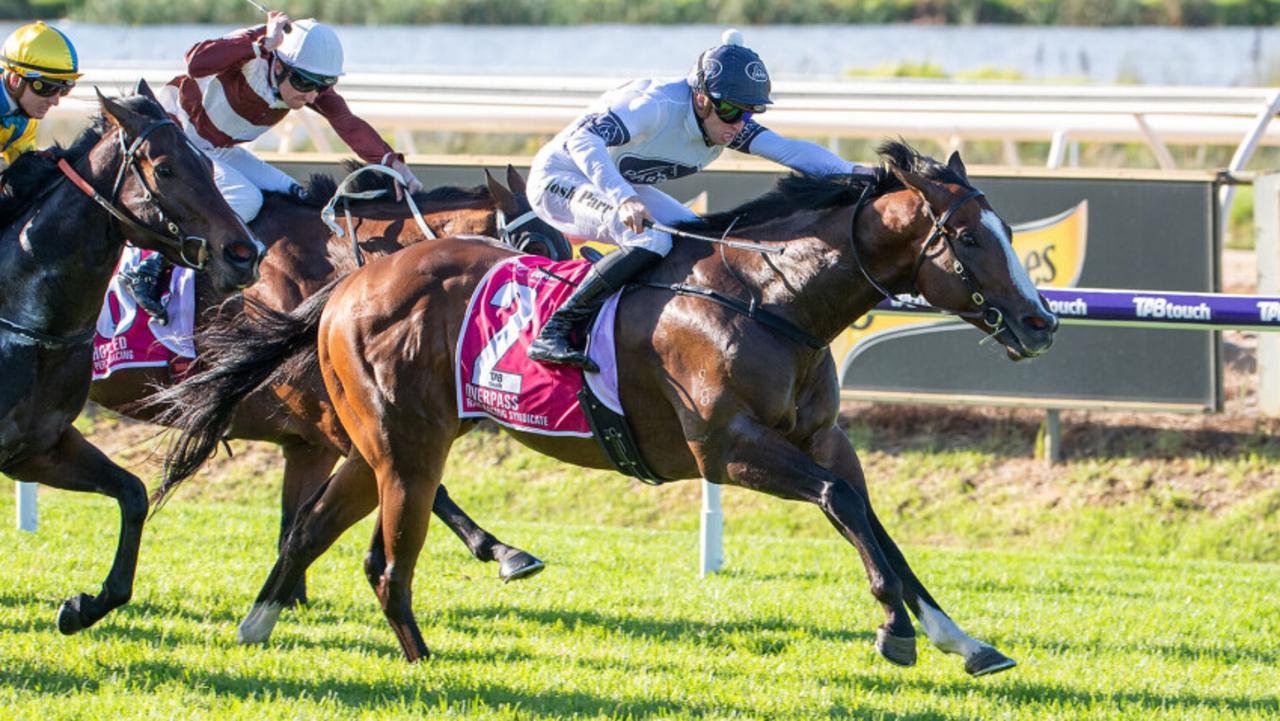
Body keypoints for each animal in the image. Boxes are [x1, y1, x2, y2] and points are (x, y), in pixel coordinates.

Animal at [0, 84, 262, 635]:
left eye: (207, 163)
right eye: (164, 168)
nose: (244, 254)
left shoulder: (38, 448)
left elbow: (135, 494)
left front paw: (84, 605)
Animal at [90, 163, 565, 599]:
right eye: (535, 246)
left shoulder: (309, 444)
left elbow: (295, 523)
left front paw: (288, 600)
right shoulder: (342, 425)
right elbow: (431, 488)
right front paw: (505, 552)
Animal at [157, 142, 1059, 676]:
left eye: (1008, 232)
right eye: (969, 238)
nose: (1041, 322)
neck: (770, 299)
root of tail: (349, 284)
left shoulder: (821, 437)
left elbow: (873, 519)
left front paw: (961, 638)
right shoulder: (727, 449)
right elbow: (842, 505)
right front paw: (895, 630)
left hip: (376, 444)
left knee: (312, 527)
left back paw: (257, 627)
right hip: (405, 449)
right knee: (384, 561)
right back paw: (421, 659)